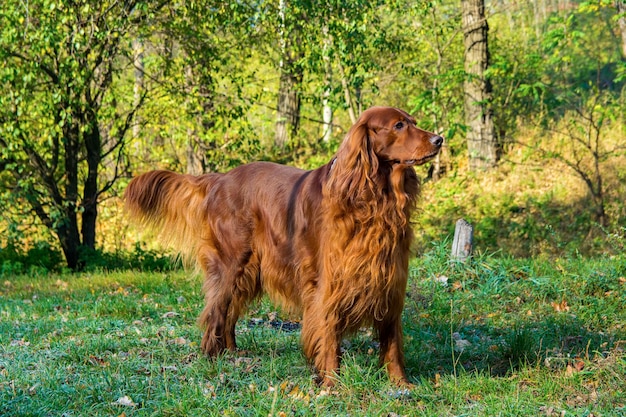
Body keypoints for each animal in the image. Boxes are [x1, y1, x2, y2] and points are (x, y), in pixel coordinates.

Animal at [124, 105, 442, 386]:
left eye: (413, 121)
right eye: (398, 125)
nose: (439, 139)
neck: (375, 199)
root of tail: (219, 179)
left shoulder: (389, 279)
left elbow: (392, 340)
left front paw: (401, 383)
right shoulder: (328, 283)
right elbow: (328, 334)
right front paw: (332, 383)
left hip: (249, 270)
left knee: (229, 311)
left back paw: (232, 353)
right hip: (231, 263)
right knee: (216, 311)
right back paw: (212, 358)